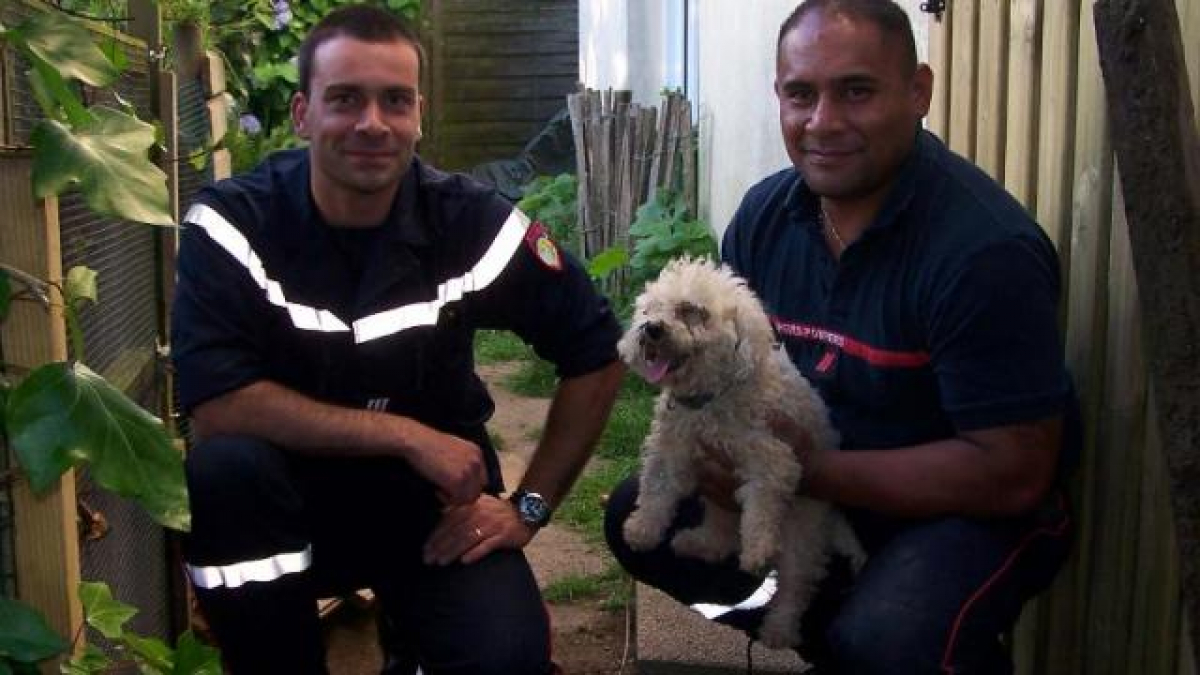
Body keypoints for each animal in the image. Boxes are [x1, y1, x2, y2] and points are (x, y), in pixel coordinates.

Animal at [619, 254, 864, 648]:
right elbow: (656, 490)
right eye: (649, 310)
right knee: (723, 531)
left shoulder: (773, 460)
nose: (650, 329)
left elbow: (760, 512)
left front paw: (757, 551)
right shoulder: (671, 449)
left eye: (691, 311)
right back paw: (701, 543)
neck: (711, 398)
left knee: (796, 583)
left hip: (802, 528)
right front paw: (643, 529)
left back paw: (779, 629)